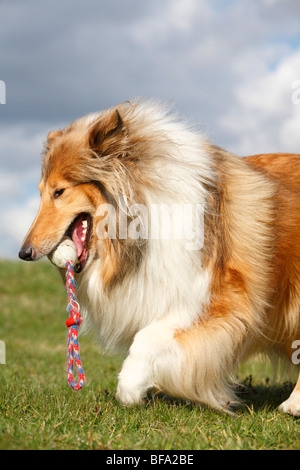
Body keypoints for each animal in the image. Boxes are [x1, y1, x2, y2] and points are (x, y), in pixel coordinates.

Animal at [19, 100, 300, 414]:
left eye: (59, 191)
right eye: (40, 192)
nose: (24, 253)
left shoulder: (219, 299)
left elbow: (146, 338)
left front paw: (130, 387)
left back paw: (293, 404)